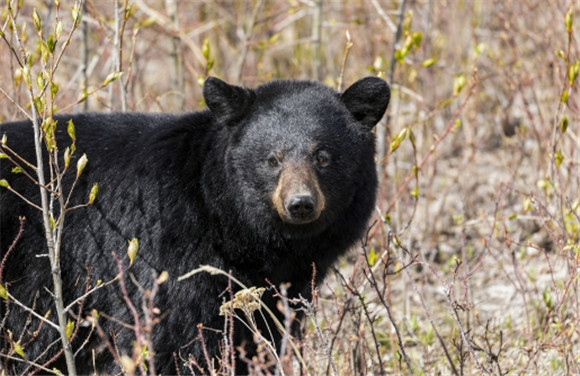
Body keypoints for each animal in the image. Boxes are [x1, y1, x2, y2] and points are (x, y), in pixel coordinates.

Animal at [1, 75, 390, 374]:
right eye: (272, 159)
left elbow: (260, 334)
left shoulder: (279, 285)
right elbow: (175, 339)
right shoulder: (170, 251)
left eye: (322, 156)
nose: (301, 204)